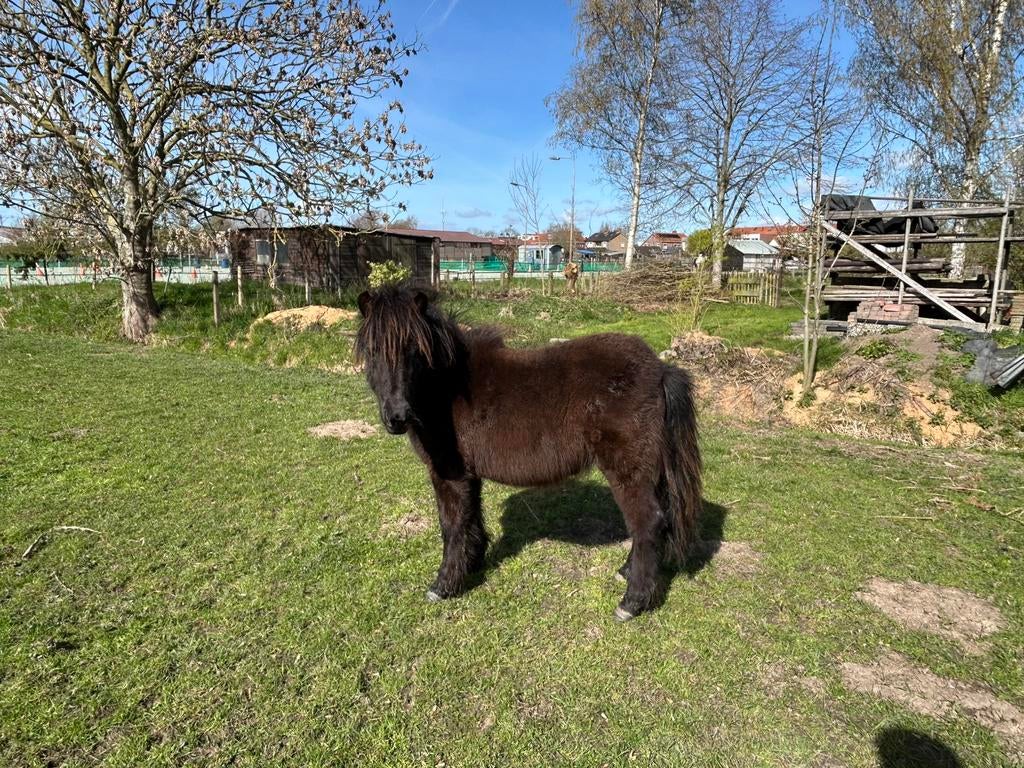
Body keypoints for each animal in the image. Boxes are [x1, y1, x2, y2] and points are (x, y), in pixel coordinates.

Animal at [354, 285, 702, 621]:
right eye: (372, 351)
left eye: (415, 351)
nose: (397, 417)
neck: (446, 387)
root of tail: (661, 369)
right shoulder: (468, 473)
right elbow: (472, 518)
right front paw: (474, 563)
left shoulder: (448, 474)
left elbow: (451, 525)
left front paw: (444, 585)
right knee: (657, 519)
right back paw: (625, 572)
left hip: (627, 469)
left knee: (647, 522)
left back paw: (631, 602)